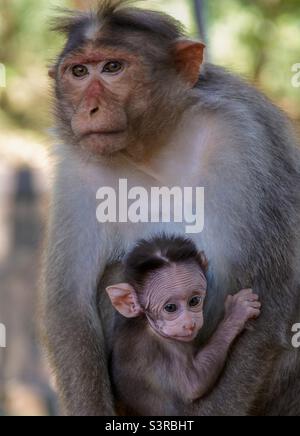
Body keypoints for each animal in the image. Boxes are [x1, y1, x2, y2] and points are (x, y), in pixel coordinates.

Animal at [106, 235, 262, 416]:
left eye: (194, 301)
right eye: (170, 308)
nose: (189, 324)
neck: (148, 324)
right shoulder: (162, 350)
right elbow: (193, 384)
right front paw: (236, 313)